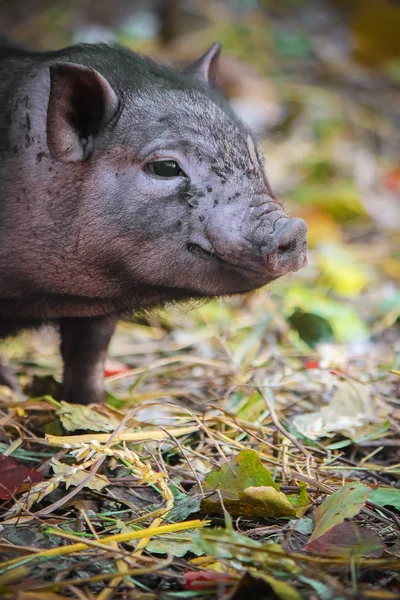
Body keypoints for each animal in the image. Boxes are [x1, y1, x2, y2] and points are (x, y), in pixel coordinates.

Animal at [0, 41, 308, 404]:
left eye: (255, 155)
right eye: (166, 167)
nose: (294, 228)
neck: (51, 298)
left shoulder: (94, 315)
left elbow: (88, 357)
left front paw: (93, 406)